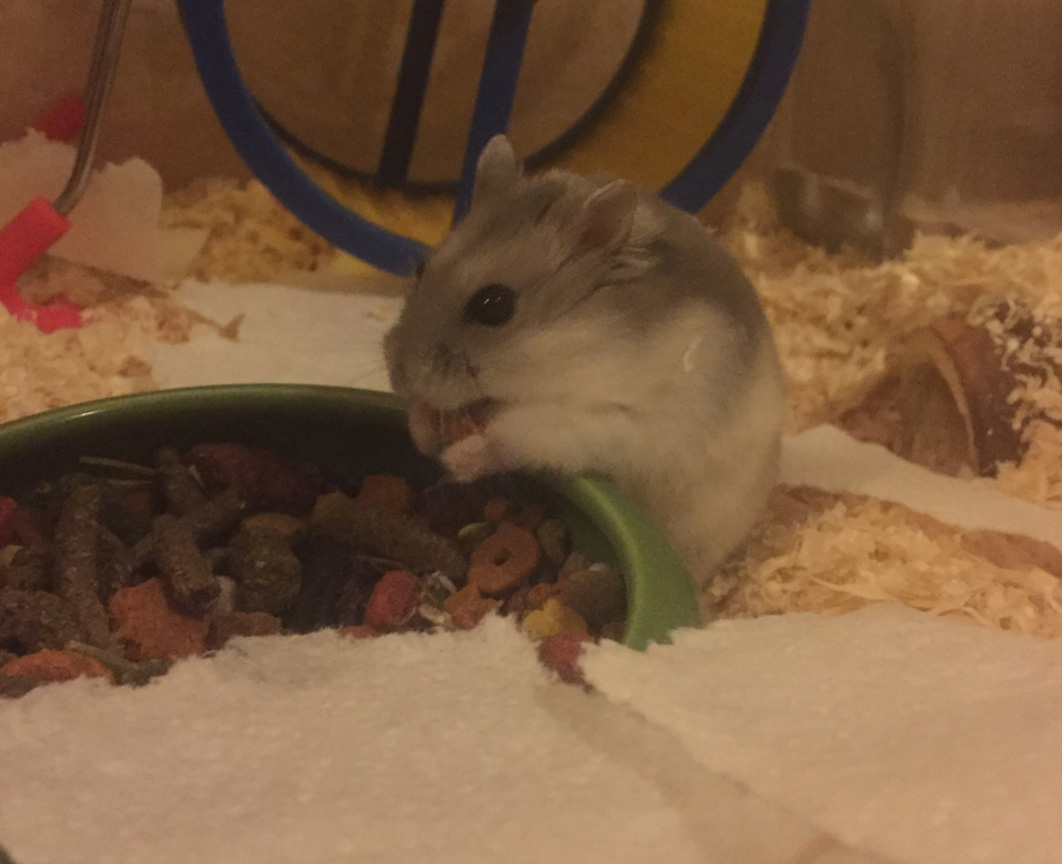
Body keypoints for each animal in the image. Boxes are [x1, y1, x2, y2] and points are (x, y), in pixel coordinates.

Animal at [384, 136, 784, 595]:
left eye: (494, 305)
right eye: (422, 268)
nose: (397, 374)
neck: (575, 349)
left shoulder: (610, 421)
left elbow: (513, 433)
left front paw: (456, 459)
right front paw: (421, 428)